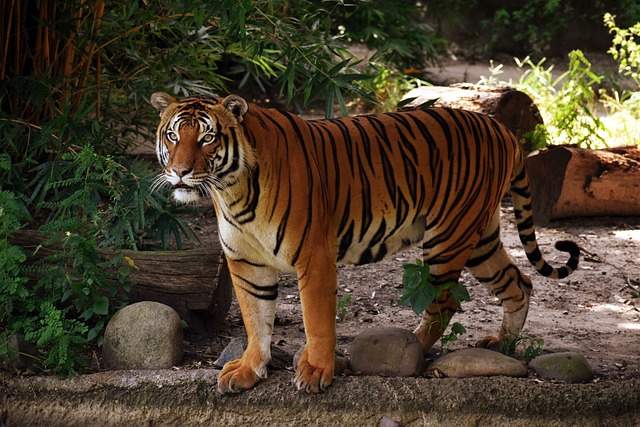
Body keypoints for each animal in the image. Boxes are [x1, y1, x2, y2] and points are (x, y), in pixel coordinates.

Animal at [150, 92, 580, 396]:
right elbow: (256, 320)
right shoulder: (246, 263)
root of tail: (501, 128)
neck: (232, 190)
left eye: (207, 137)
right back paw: (503, 343)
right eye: (173, 135)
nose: (180, 171)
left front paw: (316, 372)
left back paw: (413, 347)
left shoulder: (315, 258)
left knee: (445, 302)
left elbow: (317, 321)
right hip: (480, 237)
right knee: (518, 283)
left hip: (449, 236)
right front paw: (248, 370)